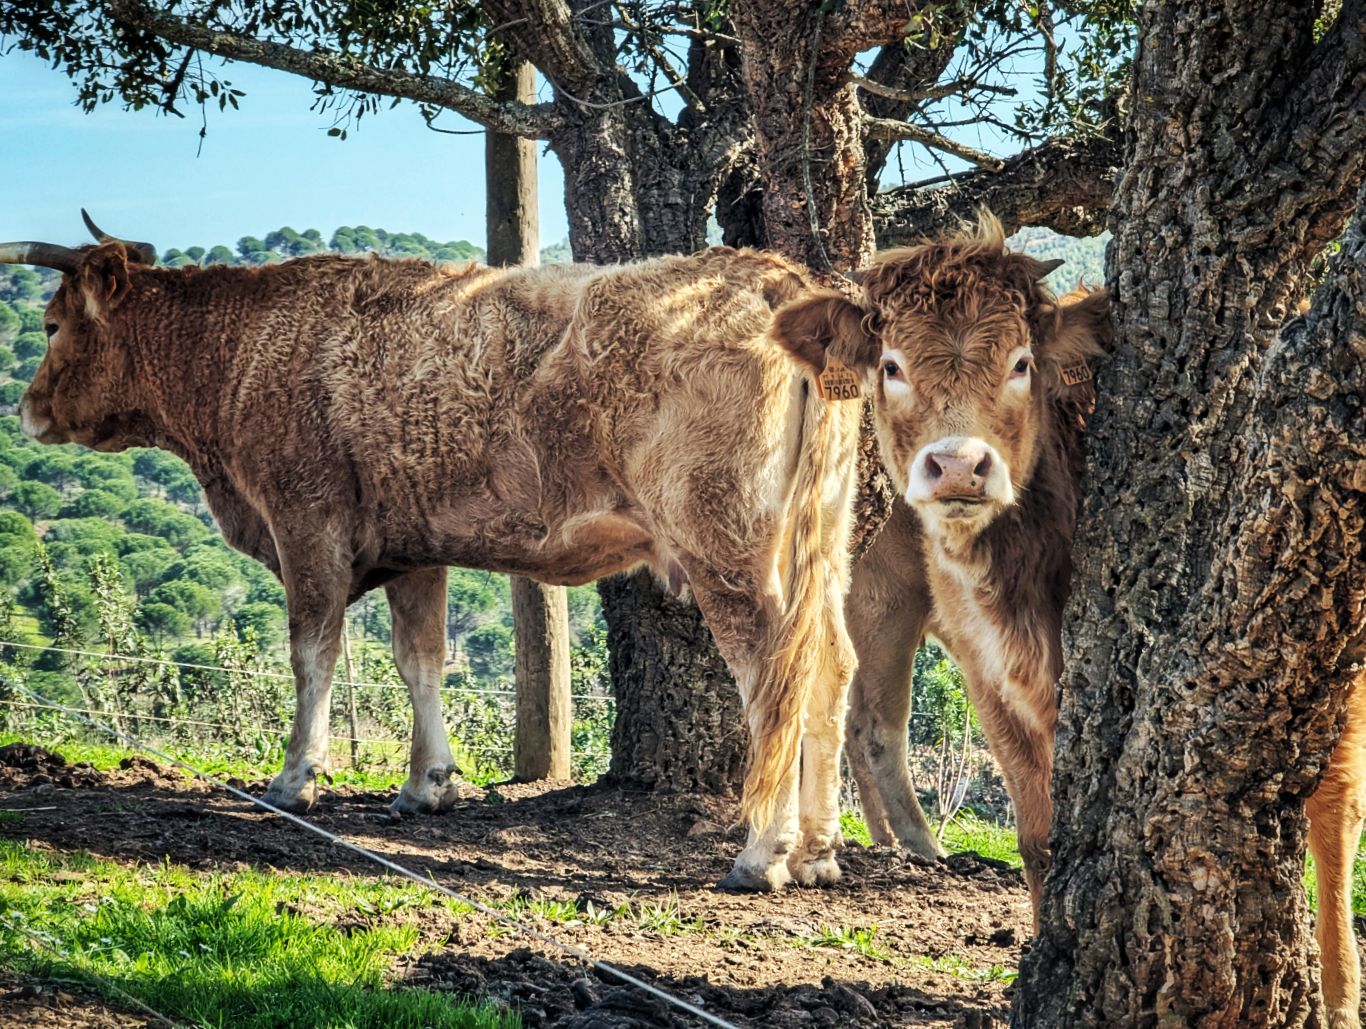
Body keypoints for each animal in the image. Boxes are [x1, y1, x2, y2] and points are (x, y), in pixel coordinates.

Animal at [2, 218, 863, 890]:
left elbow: (313, 653)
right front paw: (428, 783)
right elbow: (418, 659)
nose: (27, 409)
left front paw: (294, 779)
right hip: (822, 547)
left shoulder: (305, 521)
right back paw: (818, 852)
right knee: (831, 667)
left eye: (49, 324)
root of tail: (768, 274)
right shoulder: (415, 547)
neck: (247, 346)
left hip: (728, 550)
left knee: (773, 679)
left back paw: (762, 853)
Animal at [770, 213, 1366, 1022]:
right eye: (890, 365)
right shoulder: (988, 677)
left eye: (1022, 362)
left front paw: (1337, 999)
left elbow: (1331, 811)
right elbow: (1039, 835)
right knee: (870, 719)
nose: (958, 466)